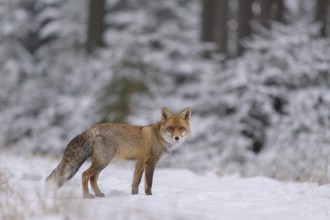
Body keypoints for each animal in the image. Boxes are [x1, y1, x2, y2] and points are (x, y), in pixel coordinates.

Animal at [45, 107, 191, 199]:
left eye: (181, 128)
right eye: (171, 128)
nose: (177, 138)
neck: (159, 136)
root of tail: (92, 128)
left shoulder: (139, 162)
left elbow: (135, 183)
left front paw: (135, 196)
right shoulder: (150, 163)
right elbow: (148, 184)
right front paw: (149, 196)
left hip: (101, 163)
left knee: (92, 178)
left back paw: (98, 194)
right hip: (103, 162)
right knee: (85, 175)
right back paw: (86, 196)